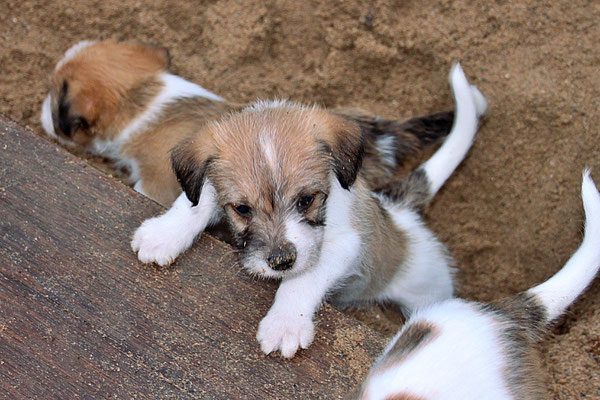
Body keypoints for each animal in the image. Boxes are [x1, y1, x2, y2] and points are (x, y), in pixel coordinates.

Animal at [131, 64, 488, 358]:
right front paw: (163, 234)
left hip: (428, 287)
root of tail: (399, 211)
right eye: (242, 209)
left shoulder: (343, 244)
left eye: (306, 200)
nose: (281, 261)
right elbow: (199, 200)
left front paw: (285, 324)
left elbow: (303, 279)